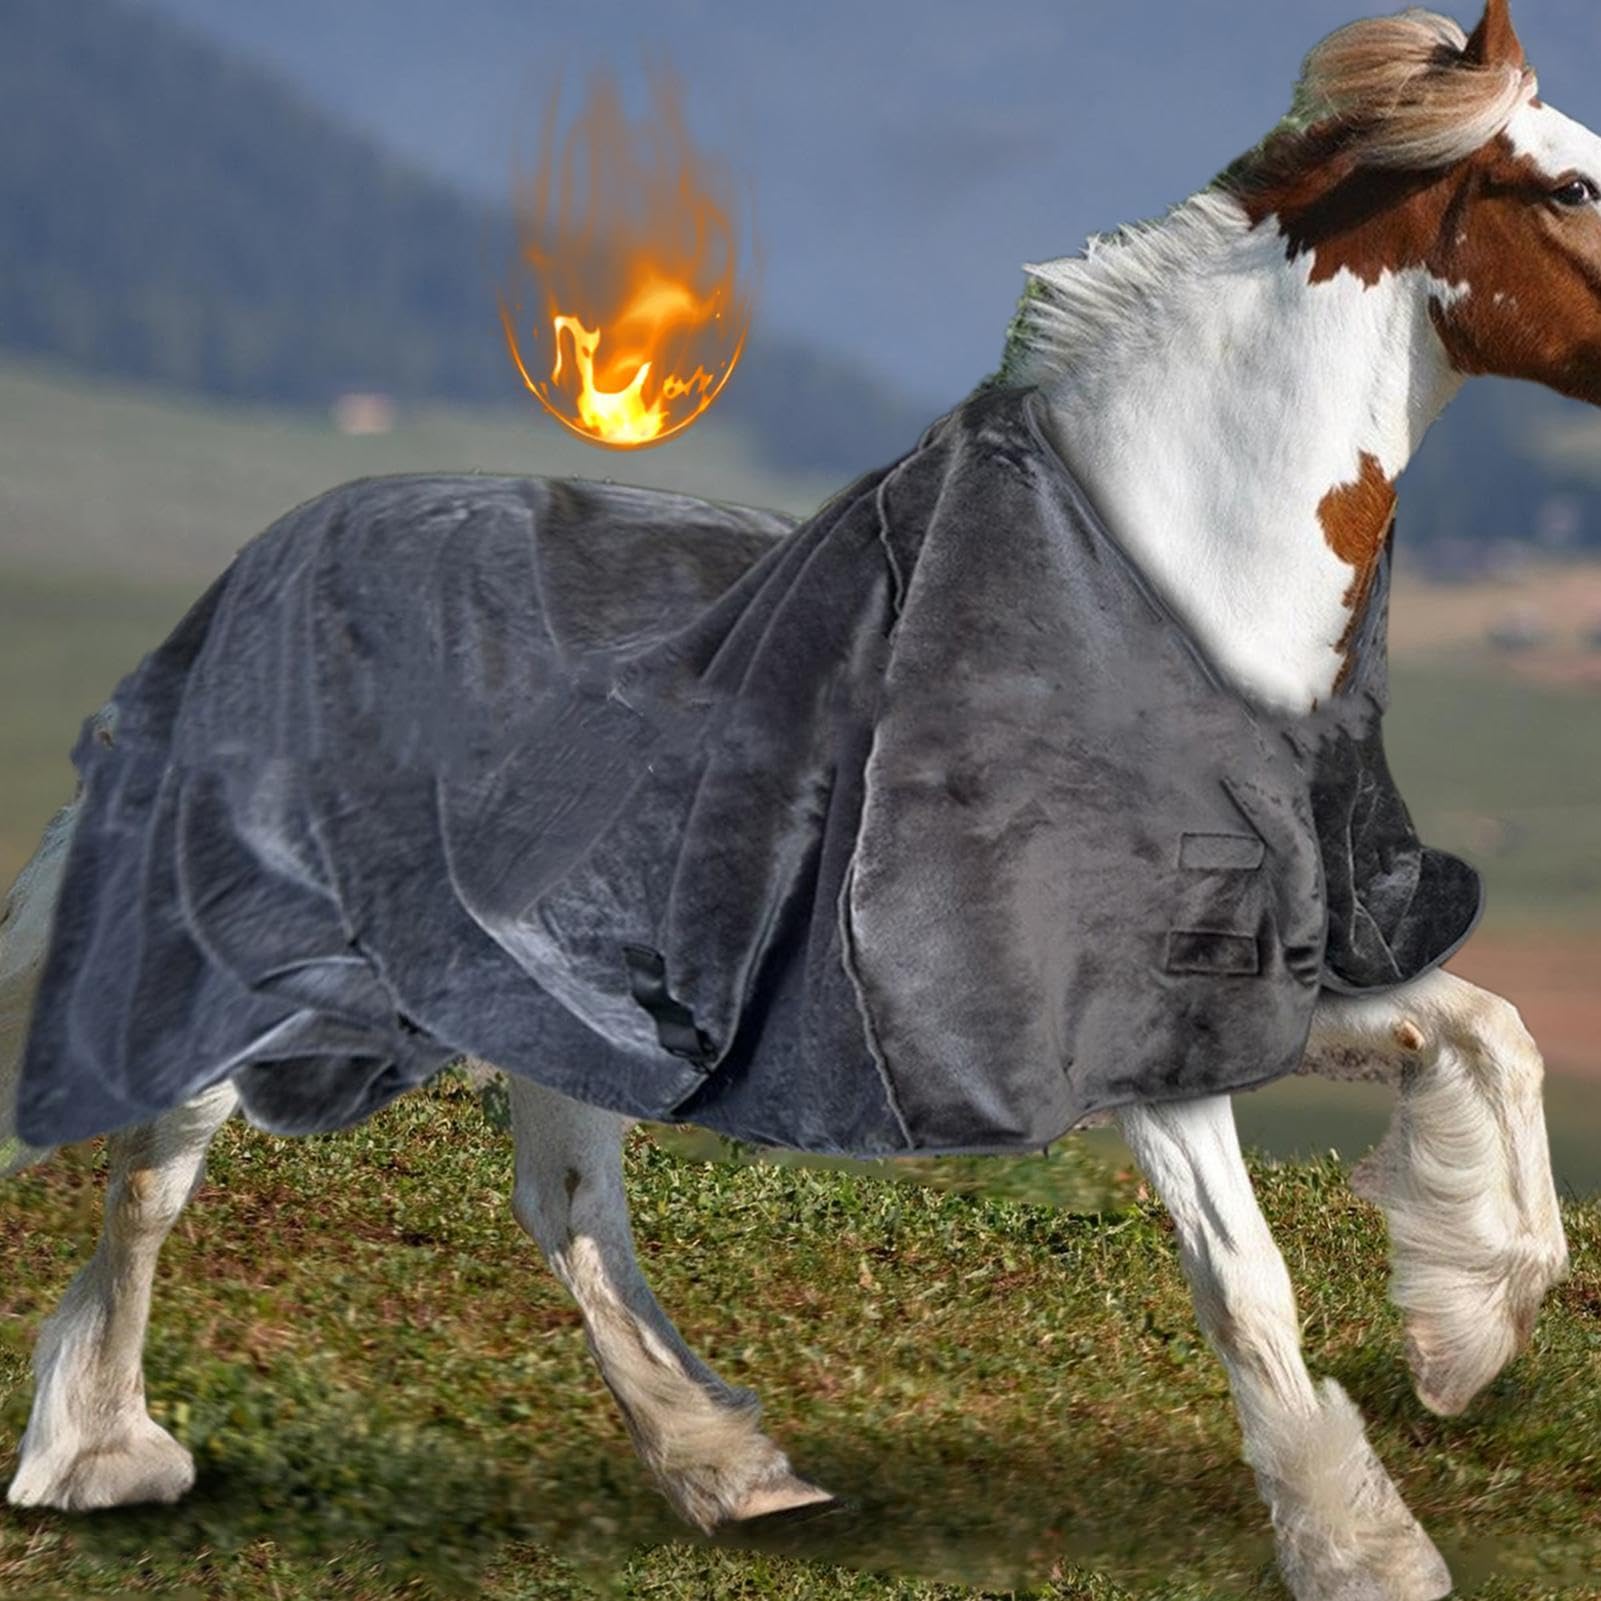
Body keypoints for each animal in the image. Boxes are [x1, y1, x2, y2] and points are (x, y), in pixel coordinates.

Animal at [0, 3, 1585, 1596]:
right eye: (1569, 188)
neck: (1145, 599)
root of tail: (261, 564)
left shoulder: (1265, 974)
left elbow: (1494, 1035)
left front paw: (1465, 1332)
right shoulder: (1130, 1025)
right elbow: (1245, 1275)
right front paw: (1359, 1542)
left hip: (561, 991)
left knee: (564, 1202)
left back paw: (727, 1470)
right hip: (265, 960)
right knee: (156, 1168)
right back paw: (101, 1454)